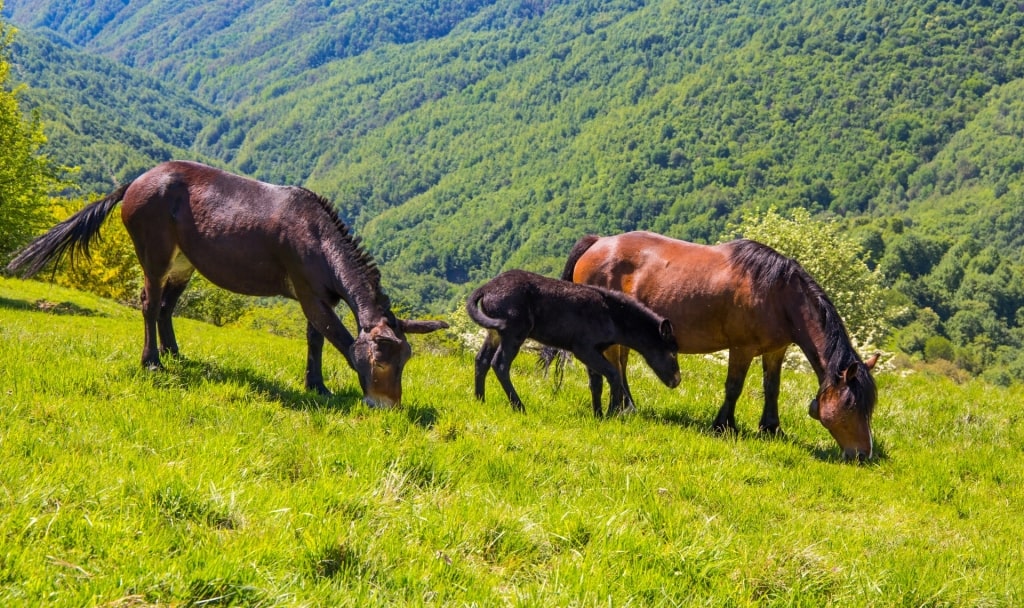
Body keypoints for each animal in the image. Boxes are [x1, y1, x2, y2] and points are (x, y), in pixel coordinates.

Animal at [7, 158, 448, 405]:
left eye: (406, 362)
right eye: (381, 361)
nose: (388, 406)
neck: (318, 239)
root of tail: (136, 180)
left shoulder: (321, 295)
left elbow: (316, 338)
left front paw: (316, 386)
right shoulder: (307, 290)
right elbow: (335, 337)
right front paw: (322, 387)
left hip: (185, 262)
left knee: (166, 306)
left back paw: (174, 354)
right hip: (154, 249)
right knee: (149, 303)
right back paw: (152, 362)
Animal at [466, 268, 679, 413]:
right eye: (672, 352)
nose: (676, 380)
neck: (613, 316)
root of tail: (486, 288)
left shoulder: (595, 351)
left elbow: (596, 383)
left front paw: (598, 414)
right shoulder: (583, 349)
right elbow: (613, 374)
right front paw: (612, 412)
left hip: (494, 332)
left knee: (481, 360)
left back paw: (480, 400)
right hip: (513, 332)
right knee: (500, 364)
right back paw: (519, 406)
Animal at [561, 230, 880, 458]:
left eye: (869, 407)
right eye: (850, 406)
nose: (863, 454)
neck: (778, 294)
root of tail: (598, 243)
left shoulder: (776, 350)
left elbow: (772, 388)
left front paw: (771, 429)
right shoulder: (741, 348)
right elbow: (734, 387)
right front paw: (723, 425)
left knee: (620, 364)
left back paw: (626, 406)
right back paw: (624, 408)